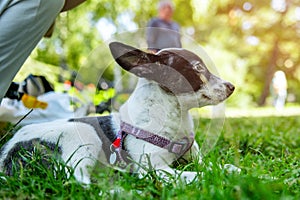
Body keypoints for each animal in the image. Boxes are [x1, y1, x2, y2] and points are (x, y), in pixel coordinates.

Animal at [0, 42, 238, 184]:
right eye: (198, 68)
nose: (232, 86)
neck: (175, 116)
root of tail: (7, 154)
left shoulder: (194, 158)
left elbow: (218, 166)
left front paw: (230, 169)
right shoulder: (156, 169)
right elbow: (195, 175)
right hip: (85, 135)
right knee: (76, 179)